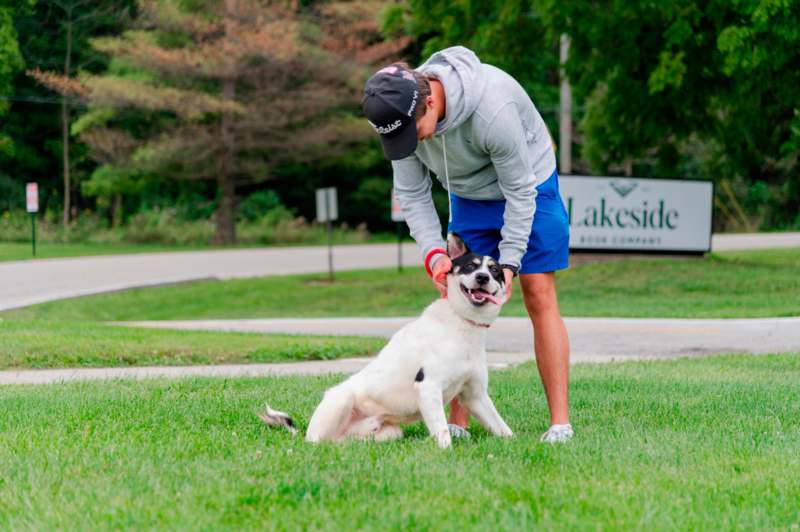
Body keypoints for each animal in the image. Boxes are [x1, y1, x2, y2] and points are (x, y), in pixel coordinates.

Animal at [260, 235, 516, 446]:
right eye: (470, 266)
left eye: (495, 271)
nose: (482, 277)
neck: (461, 322)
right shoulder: (428, 385)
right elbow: (442, 432)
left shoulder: (475, 396)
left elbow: (503, 428)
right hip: (341, 401)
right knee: (317, 442)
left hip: (390, 432)